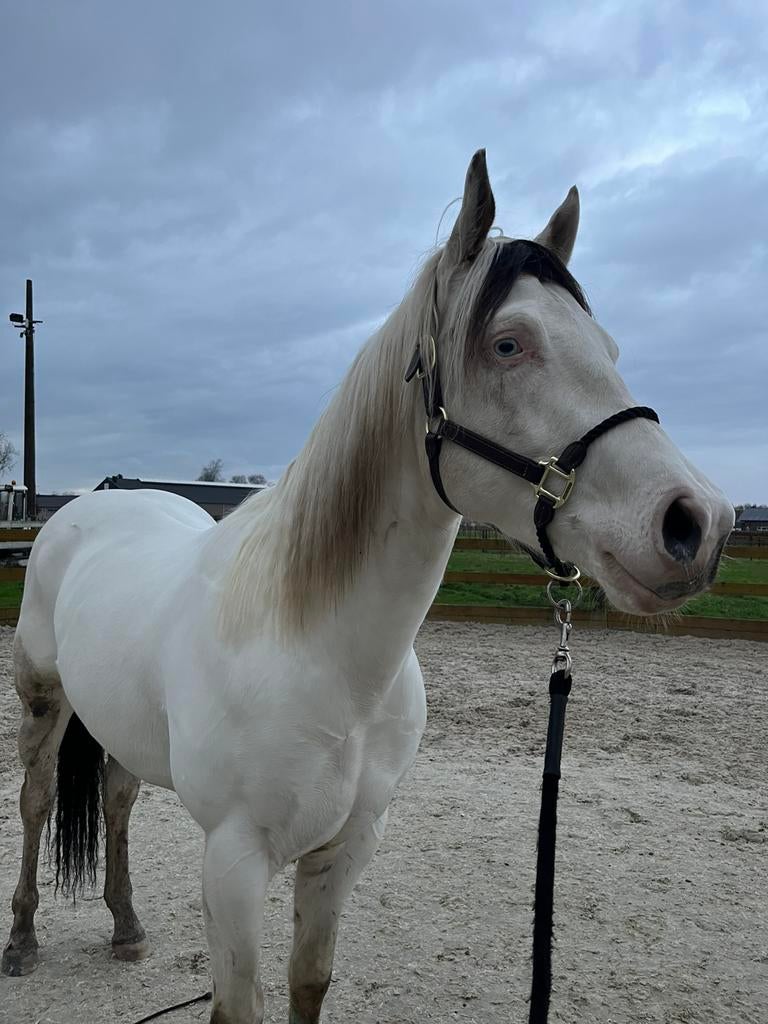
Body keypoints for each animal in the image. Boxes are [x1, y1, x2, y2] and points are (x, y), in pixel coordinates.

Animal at [2, 150, 733, 1023]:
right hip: (43, 702)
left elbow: (309, 983)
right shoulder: (233, 862)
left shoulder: (345, 851)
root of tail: (91, 505)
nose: (697, 524)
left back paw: (124, 925)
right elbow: (238, 1006)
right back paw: (22, 940)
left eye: (610, 347)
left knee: (115, 802)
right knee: (37, 801)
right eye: (509, 343)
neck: (318, 648)